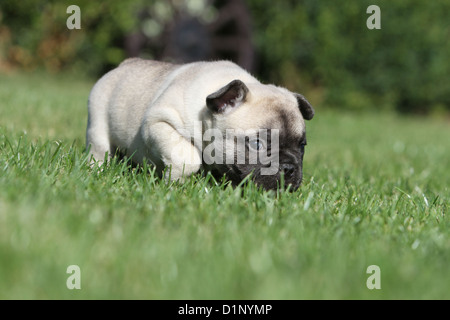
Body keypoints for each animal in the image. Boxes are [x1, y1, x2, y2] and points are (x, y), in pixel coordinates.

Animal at [87, 58, 312, 190]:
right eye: (257, 144)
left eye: (302, 146)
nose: (289, 168)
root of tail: (124, 64)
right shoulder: (159, 123)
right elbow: (188, 156)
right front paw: (175, 184)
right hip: (98, 125)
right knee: (99, 150)